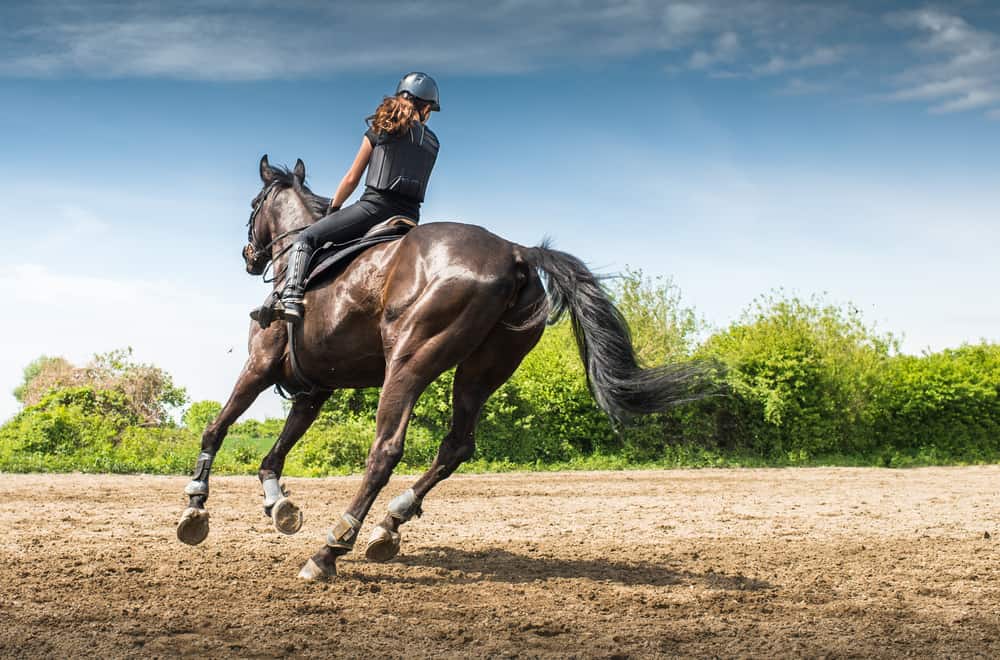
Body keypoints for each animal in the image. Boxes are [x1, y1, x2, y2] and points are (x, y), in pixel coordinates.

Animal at [176, 155, 707, 580]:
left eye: (253, 204)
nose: (249, 257)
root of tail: (516, 252)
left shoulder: (260, 367)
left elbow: (216, 428)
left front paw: (195, 507)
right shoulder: (315, 389)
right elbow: (276, 453)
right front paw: (278, 504)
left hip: (410, 362)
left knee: (386, 451)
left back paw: (331, 549)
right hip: (482, 371)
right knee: (456, 446)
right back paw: (389, 526)